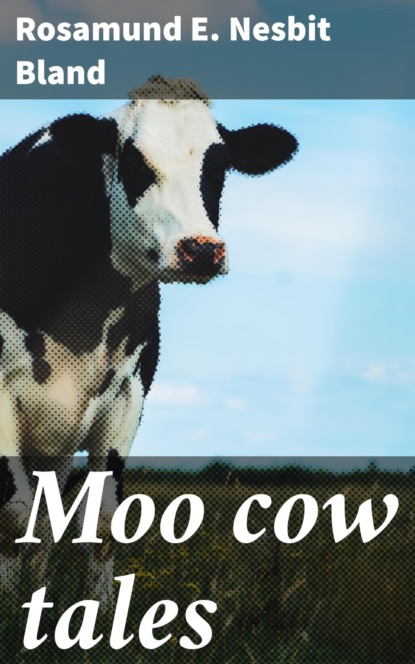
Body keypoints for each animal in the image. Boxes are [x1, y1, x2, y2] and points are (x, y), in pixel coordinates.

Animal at [0, 75, 298, 599]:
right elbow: (12, 517)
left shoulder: (127, 395)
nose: (202, 250)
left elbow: (101, 524)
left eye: (219, 165)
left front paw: (97, 613)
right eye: (135, 161)